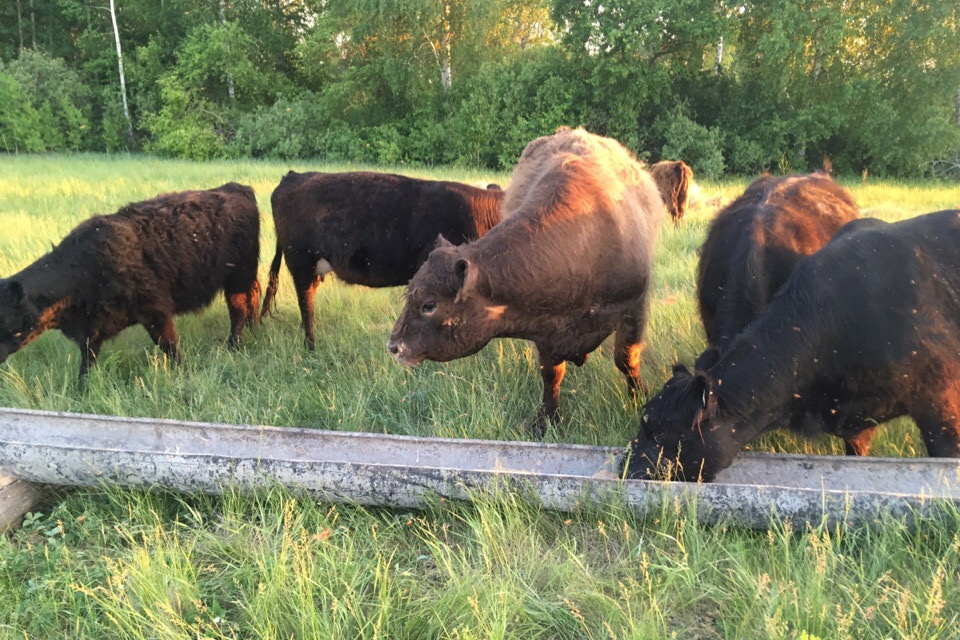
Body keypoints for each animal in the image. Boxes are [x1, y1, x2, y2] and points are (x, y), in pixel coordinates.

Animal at [0, 182, 260, 378]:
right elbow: (87, 361)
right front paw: (82, 389)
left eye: (7, 322)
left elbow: (169, 346)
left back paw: (233, 347)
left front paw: (183, 372)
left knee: (237, 310)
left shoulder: (156, 312)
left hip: (238, 277)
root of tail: (235, 187)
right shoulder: (90, 330)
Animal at [386, 126, 664, 436]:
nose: (393, 346)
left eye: (429, 305)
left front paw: (640, 400)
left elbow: (627, 360)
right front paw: (547, 420)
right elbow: (551, 374)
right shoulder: (545, 329)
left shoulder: (633, 308)